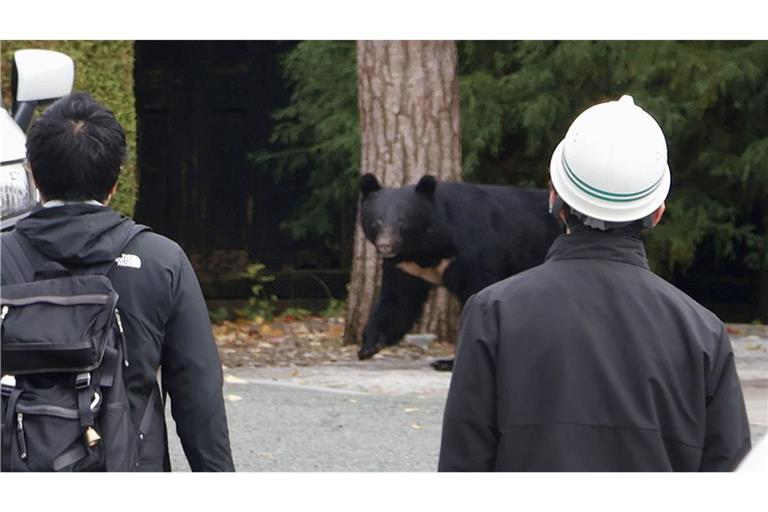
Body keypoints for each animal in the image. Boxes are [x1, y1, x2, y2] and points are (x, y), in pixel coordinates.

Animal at [357, 173, 563, 369]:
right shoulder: (406, 267)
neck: (426, 248)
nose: (385, 246)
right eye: (377, 221)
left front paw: (449, 362)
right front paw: (369, 346)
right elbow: (398, 299)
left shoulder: (473, 251)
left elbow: (477, 291)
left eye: (403, 221)